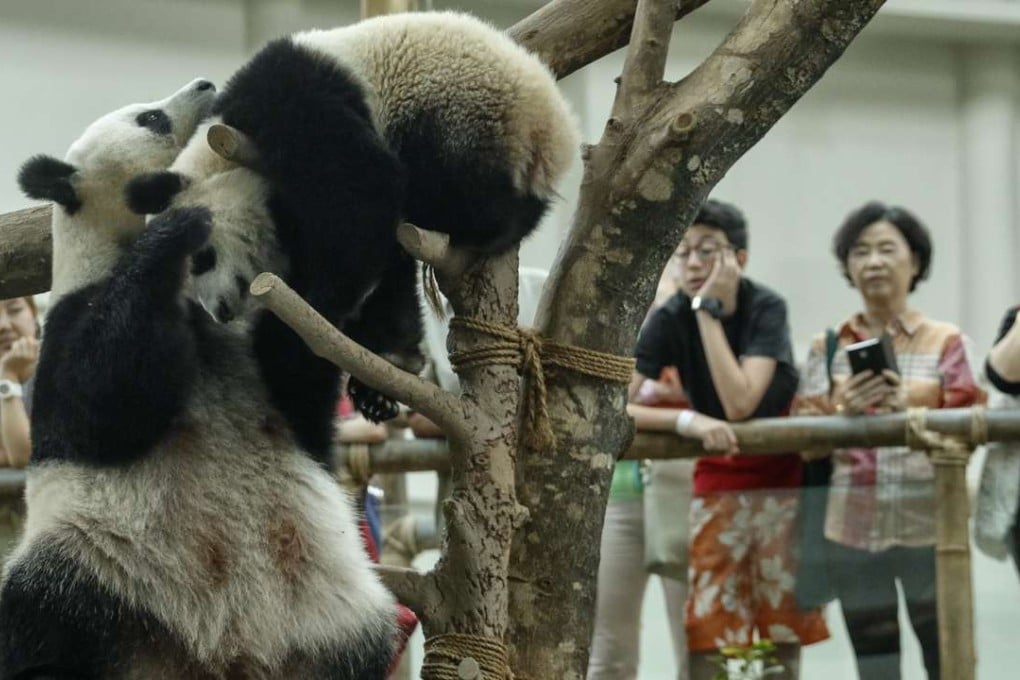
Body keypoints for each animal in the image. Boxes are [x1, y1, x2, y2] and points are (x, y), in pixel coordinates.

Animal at [2, 84, 396, 679]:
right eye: (151, 118)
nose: (207, 85)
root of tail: (220, 654)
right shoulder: (66, 328)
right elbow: (102, 399)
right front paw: (179, 226)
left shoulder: (265, 338)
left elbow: (304, 360)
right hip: (90, 563)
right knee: (39, 628)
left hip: (334, 612)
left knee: (364, 651)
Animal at [125, 10, 580, 428]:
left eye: (202, 259)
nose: (219, 311)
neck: (223, 152)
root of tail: (553, 129)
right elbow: (388, 260)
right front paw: (387, 364)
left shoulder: (289, 102)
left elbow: (368, 190)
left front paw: (308, 325)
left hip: (460, 113)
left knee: (455, 191)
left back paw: (500, 221)